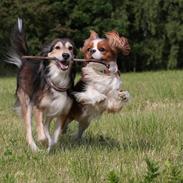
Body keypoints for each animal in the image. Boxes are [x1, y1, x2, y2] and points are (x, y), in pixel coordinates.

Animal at [6, 18, 75, 152]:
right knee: (28, 128)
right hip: (26, 102)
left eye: (71, 48)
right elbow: (42, 134)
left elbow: (56, 135)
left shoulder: (62, 110)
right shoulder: (38, 107)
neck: (58, 77)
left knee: (46, 125)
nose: (66, 55)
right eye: (57, 47)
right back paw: (34, 147)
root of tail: (25, 61)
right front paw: (44, 142)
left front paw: (51, 143)